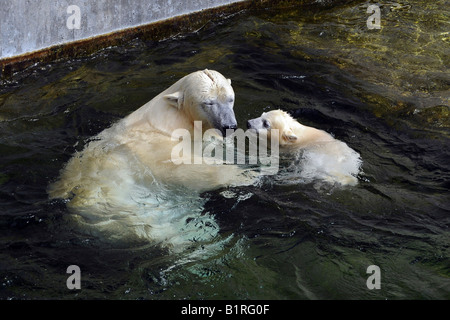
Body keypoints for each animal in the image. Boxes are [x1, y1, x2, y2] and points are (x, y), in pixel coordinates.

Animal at [48, 69, 253, 245]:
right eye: (208, 102)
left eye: (230, 99)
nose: (229, 126)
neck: (174, 119)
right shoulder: (154, 146)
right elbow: (182, 169)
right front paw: (247, 175)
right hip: (118, 207)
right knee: (157, 226)